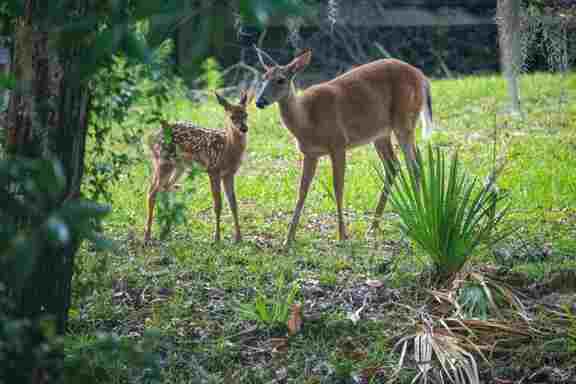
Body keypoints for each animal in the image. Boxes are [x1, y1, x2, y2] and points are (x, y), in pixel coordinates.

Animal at [143, 91, 252, 243]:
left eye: (246, 114)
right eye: (232, 117)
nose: (244, 128)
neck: (227, 148)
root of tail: (153, 136)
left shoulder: (229, 173)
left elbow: (233, 204)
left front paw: (239, 238)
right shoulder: (213, 169)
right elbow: (218, 204)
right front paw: (217, 238)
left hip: (177, 166)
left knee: (164, 188)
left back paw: (166, 232)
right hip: (163, 161)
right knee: (152, 191)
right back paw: (147, 236)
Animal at [255, 48, 432, 246]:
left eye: (281, 79)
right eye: (263, 77)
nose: (259, 101)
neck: (308, 120)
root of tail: (422, 77)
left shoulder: (339, 143)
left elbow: (338, 187)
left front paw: (341, 236)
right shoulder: (310, 153)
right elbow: (302, 191)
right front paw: (288, 240)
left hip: (404, 120)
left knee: (413, 166)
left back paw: (414, 222)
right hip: (381, 133)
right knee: (396, 165)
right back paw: (375, 226)